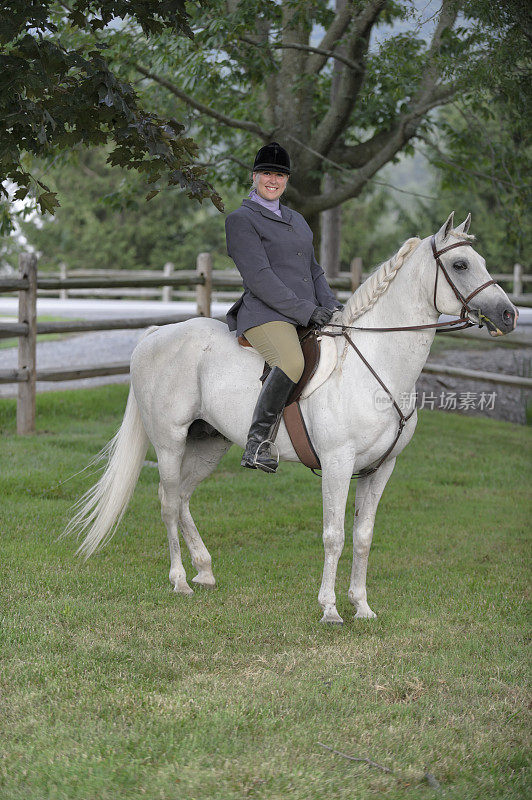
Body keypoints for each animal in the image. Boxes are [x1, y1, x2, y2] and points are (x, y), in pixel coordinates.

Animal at [66, 212, 516, 624]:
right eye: (460, 264)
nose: (509, 315)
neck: (374, 365)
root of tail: (157, 334)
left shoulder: (381, 468)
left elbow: (363, 537)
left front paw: (362, 606)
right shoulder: (337, 463)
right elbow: (334, 536)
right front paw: (330, 609)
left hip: (208, 443)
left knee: (181, 498)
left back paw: (205, 571)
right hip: (170, 441)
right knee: (166, 499)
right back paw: (179, 580)